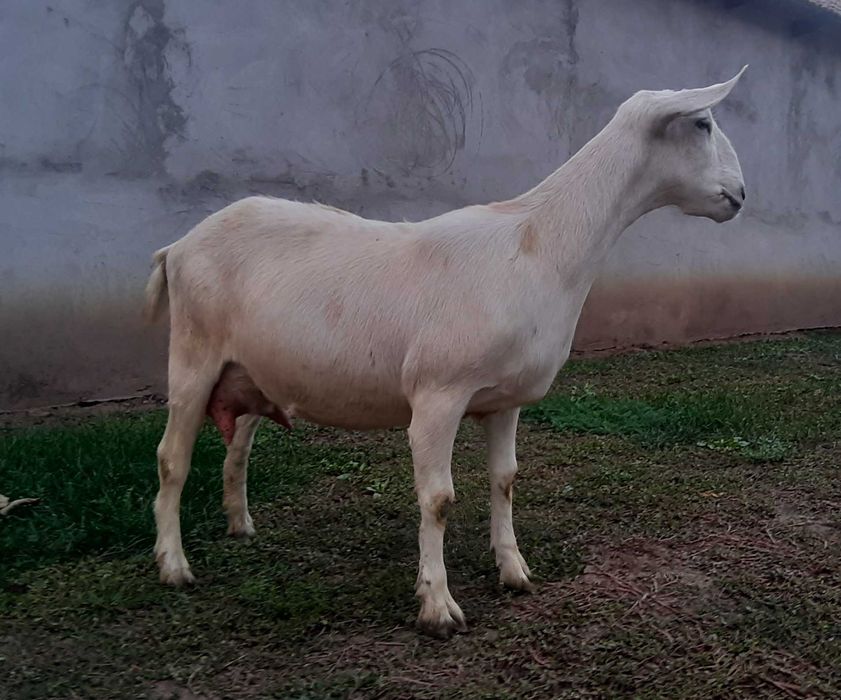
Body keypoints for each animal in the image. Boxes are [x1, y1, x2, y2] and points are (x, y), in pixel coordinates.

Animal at [145, 68, 747, 638]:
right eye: (702, 123)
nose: (741, 194)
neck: (537, 243)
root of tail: (177, 246)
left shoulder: (504, 400)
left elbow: (505, 480)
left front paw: (514, 571)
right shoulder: (437, 394)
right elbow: (437, 499)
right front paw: (437, 606)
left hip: (251, 370)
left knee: (239, 445)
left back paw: (240, 524)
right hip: (193, 356)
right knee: (171, 458)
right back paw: (173, 566)